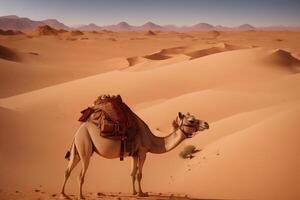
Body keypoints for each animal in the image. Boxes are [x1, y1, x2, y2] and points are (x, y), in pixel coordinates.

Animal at [59, 111, 210, 199]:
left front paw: (134, 193)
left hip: (78, 149)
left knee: (67, 170)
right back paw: (80, 196)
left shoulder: (134, 154)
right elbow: (139, 174)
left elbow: (132, 173)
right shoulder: (143, 152)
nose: (206, 124)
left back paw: (64, 194)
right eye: (191, 120)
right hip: (85, 147)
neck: (151, 139)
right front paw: (142, 193)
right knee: (80, 175)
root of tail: (77, 131)